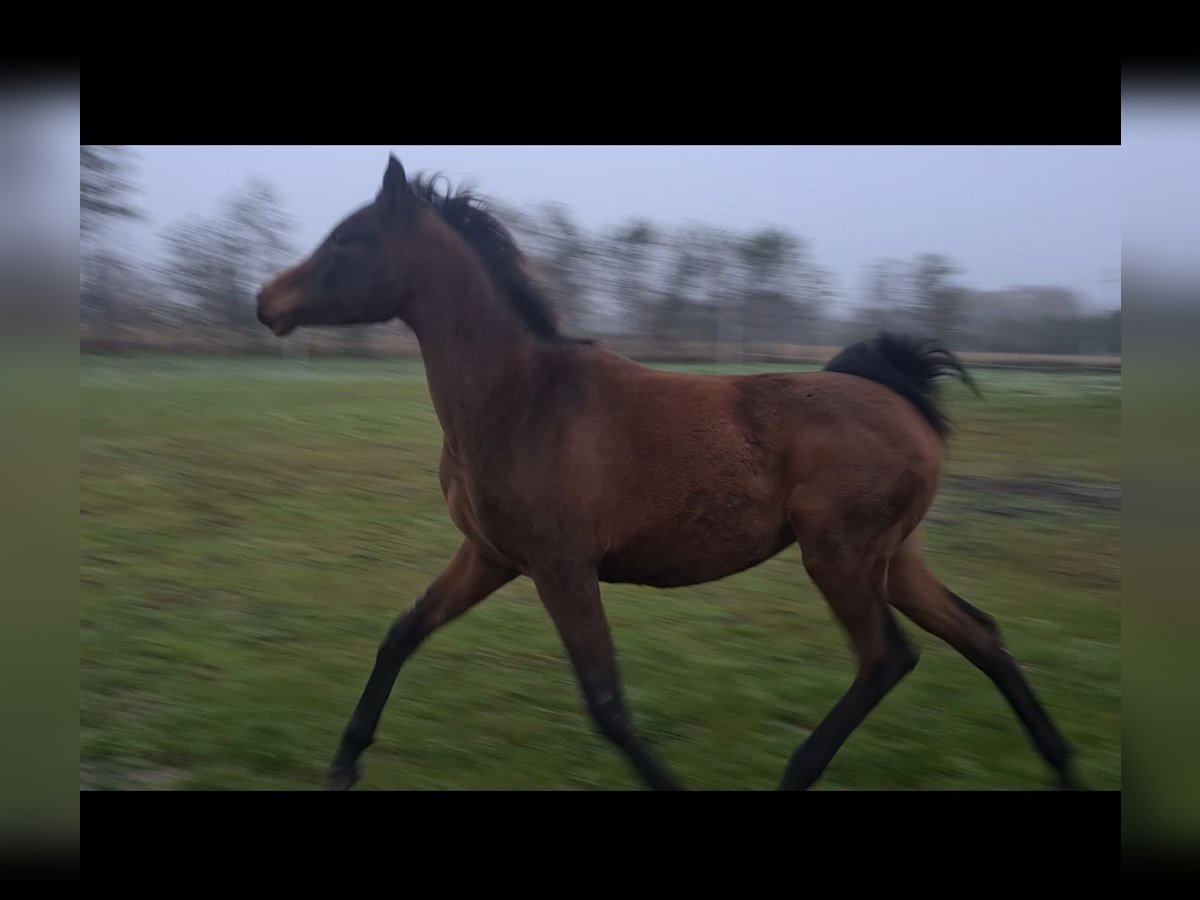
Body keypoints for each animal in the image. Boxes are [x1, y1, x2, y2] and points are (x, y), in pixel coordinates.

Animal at [253, 158, 1080, 792]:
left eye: (348, 237)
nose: (265, 302)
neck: (518, 399)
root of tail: (902, 399)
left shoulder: (562, 567)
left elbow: (606, 703)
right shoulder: (490, 555)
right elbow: (402, 633)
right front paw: (343, 765)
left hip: (840, 557)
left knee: (887, 658)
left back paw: (797, 772)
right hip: (896, 557)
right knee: (980, 634)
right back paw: (1063, 764)